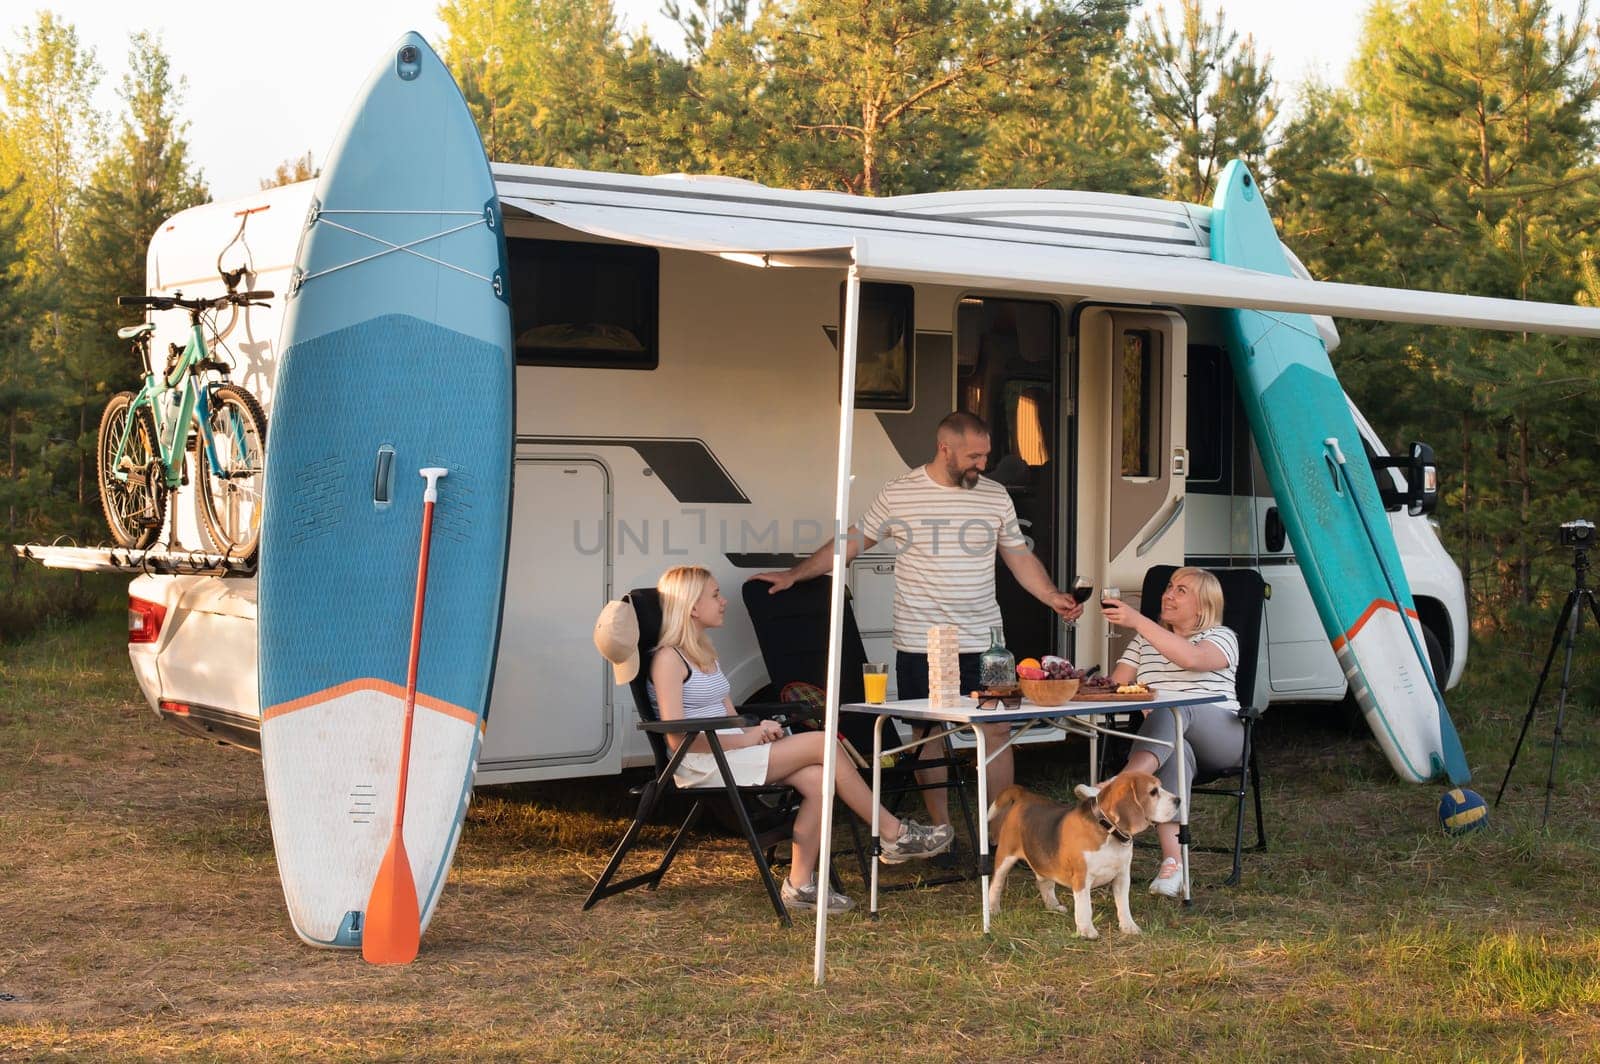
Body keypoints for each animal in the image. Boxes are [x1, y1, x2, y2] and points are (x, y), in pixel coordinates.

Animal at [979, 771, 1184, 940]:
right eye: (1153, 792)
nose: (1179, 800)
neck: (1108, 831)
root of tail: (1025, 796)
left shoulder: (1122, 876)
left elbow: (1123, 905)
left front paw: (1129, 927)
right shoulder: (1082, 878)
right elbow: (1085, 907)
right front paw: (1086, 931)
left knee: (1044, 882)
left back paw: (1053, 906)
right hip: (1005, 856)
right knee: (995, 884)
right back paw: (992, 908)